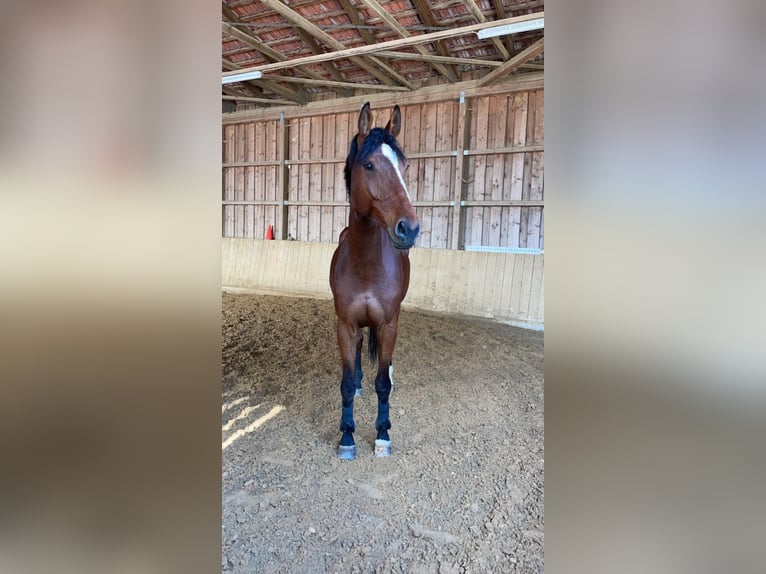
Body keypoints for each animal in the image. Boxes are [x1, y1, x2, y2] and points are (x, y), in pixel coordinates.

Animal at [332, 103, 424, 462]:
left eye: (405, 165)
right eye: (369, 165)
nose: (409, 228)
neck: (366, 266)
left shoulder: (387, 325)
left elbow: (383, 383)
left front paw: (383, 434)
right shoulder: (345, 324)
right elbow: (344, 382)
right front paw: (347, 437)